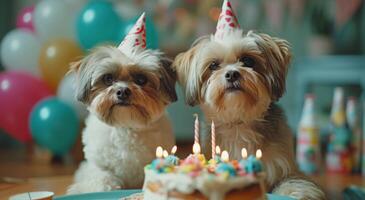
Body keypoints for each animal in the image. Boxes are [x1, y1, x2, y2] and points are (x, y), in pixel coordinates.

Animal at [68, 13, 178, 194]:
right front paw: (106, 187)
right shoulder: (96, 166)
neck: (126, 126)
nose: (122, 91)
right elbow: (101, 177)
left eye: (141, 80)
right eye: (108, 79)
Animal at [173, 0, 324, 199]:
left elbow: (295, 184)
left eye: (248, 61)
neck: (239, 122)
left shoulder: (286, 168)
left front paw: (293, 192)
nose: (231, 74)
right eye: (213, 65)